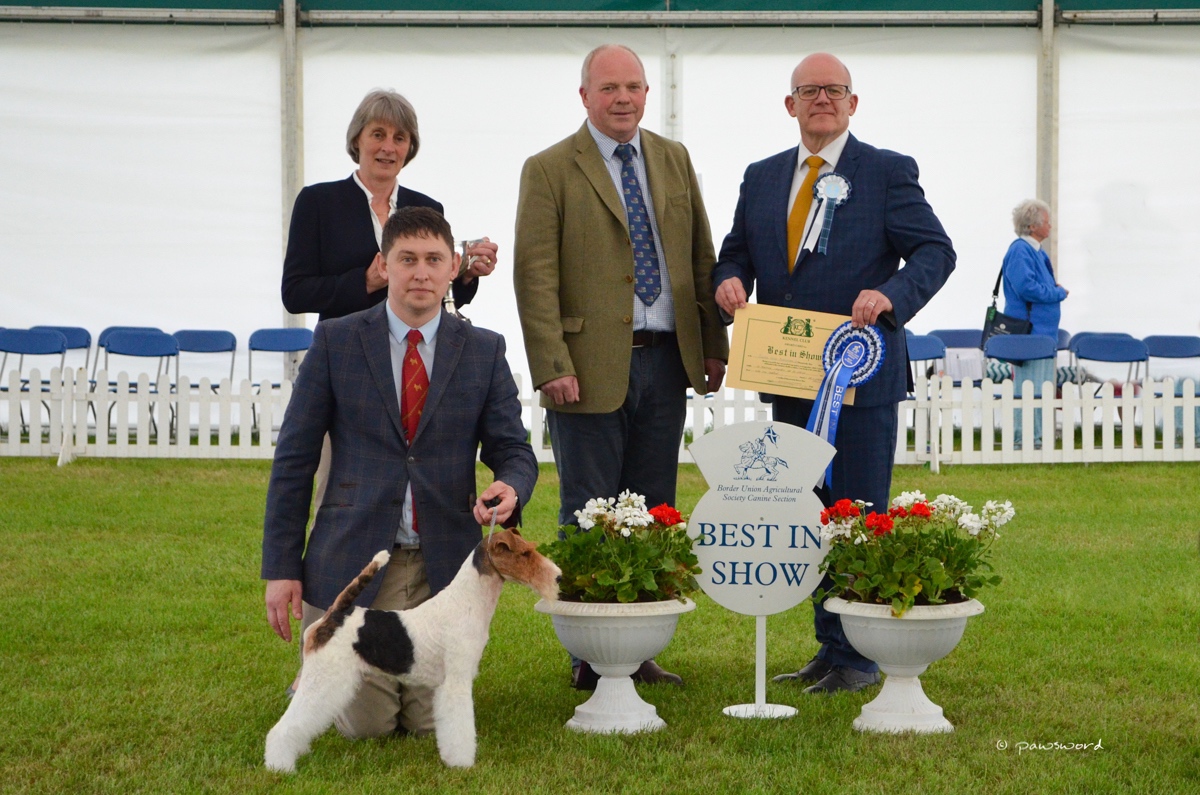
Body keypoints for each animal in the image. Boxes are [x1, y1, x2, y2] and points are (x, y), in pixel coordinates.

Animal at [265, 528, 559, 773]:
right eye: (525, 553)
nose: (558, 577)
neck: (467, 601)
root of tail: (334, 615)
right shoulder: (457, 681)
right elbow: (461, 726)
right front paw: (463, 763)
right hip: (324, 679)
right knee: (287, 724)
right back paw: (280, 766)